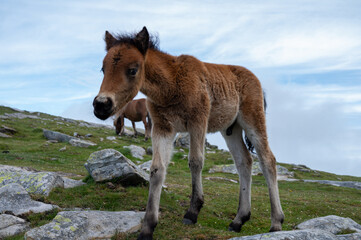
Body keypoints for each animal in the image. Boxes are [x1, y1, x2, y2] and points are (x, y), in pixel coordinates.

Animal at [93, 26, 284, 240]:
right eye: (103, 69)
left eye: (133, 70)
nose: (101, 105)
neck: (171, 85)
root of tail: (256, 80)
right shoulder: (163, 127)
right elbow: (157, 169)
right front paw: (147, 227)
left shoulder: (197, 121)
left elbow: (195, 162)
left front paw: (192, 212)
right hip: (231, 129)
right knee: (244, 162)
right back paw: (238, 220)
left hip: (253, 120)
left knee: (268, 160)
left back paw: (276, 222)